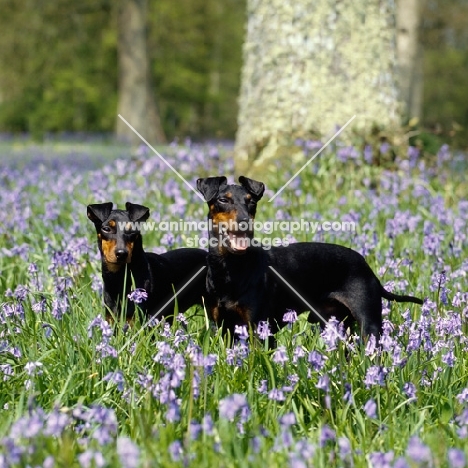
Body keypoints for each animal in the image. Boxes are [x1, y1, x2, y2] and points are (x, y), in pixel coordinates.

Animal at [196, 176, 422, 340]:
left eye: (251, 203)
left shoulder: (259, 328)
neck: (230, 268)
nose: (245, 222)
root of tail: (367, 267)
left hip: (369, 324)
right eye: (223, 200)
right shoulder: (225, 327)